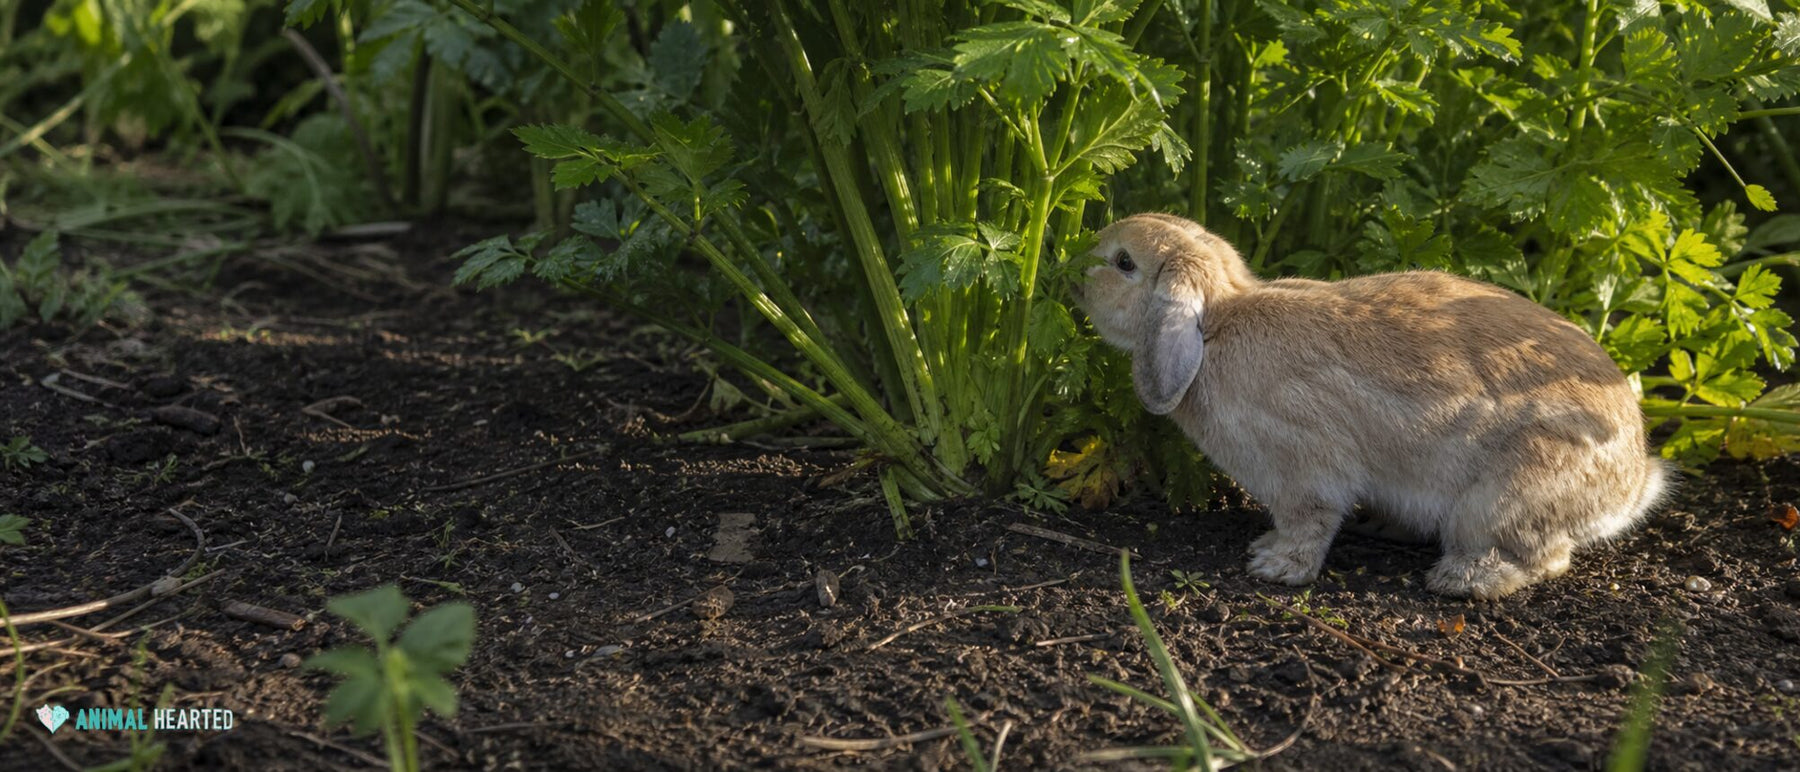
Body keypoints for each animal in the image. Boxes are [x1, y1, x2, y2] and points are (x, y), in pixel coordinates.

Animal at [1072, 213, 1671, 599]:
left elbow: (1310, 522)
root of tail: (1632, 485)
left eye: (1124, 262)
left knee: (1547, 556)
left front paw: (1274, 565)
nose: (1076, 270)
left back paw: (1464, 579)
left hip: (1502, 498)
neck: (1217, 323)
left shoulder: (1304, 467)